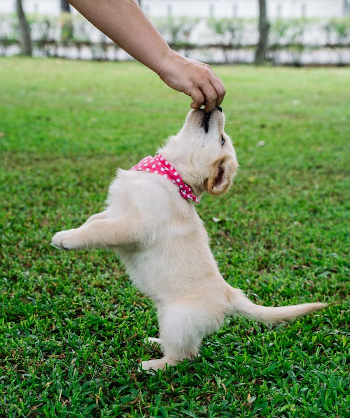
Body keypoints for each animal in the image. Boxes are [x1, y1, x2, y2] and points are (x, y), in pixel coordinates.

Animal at [52, 106, 328, 370]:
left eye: (222, 139)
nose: (219, 107)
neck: (171, 175)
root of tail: (229, 296)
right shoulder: (115, 211)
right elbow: (94, 220)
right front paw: (73, 229)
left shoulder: (133, 226)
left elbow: (98, 230)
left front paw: (65, 238)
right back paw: (155, 342)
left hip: (177, 320)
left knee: (185, 356)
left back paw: (152, 365)